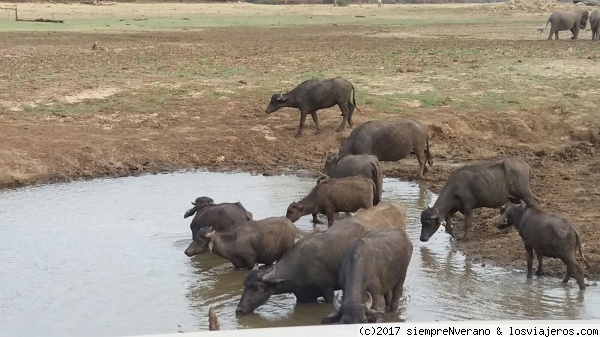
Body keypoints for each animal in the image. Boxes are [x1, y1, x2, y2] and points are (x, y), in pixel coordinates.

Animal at [234, 200, 408, 316]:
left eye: (255, 287)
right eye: (245, 285)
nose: (239, 309)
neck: (299, 268)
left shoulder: (328, 292)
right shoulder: (303, 298)